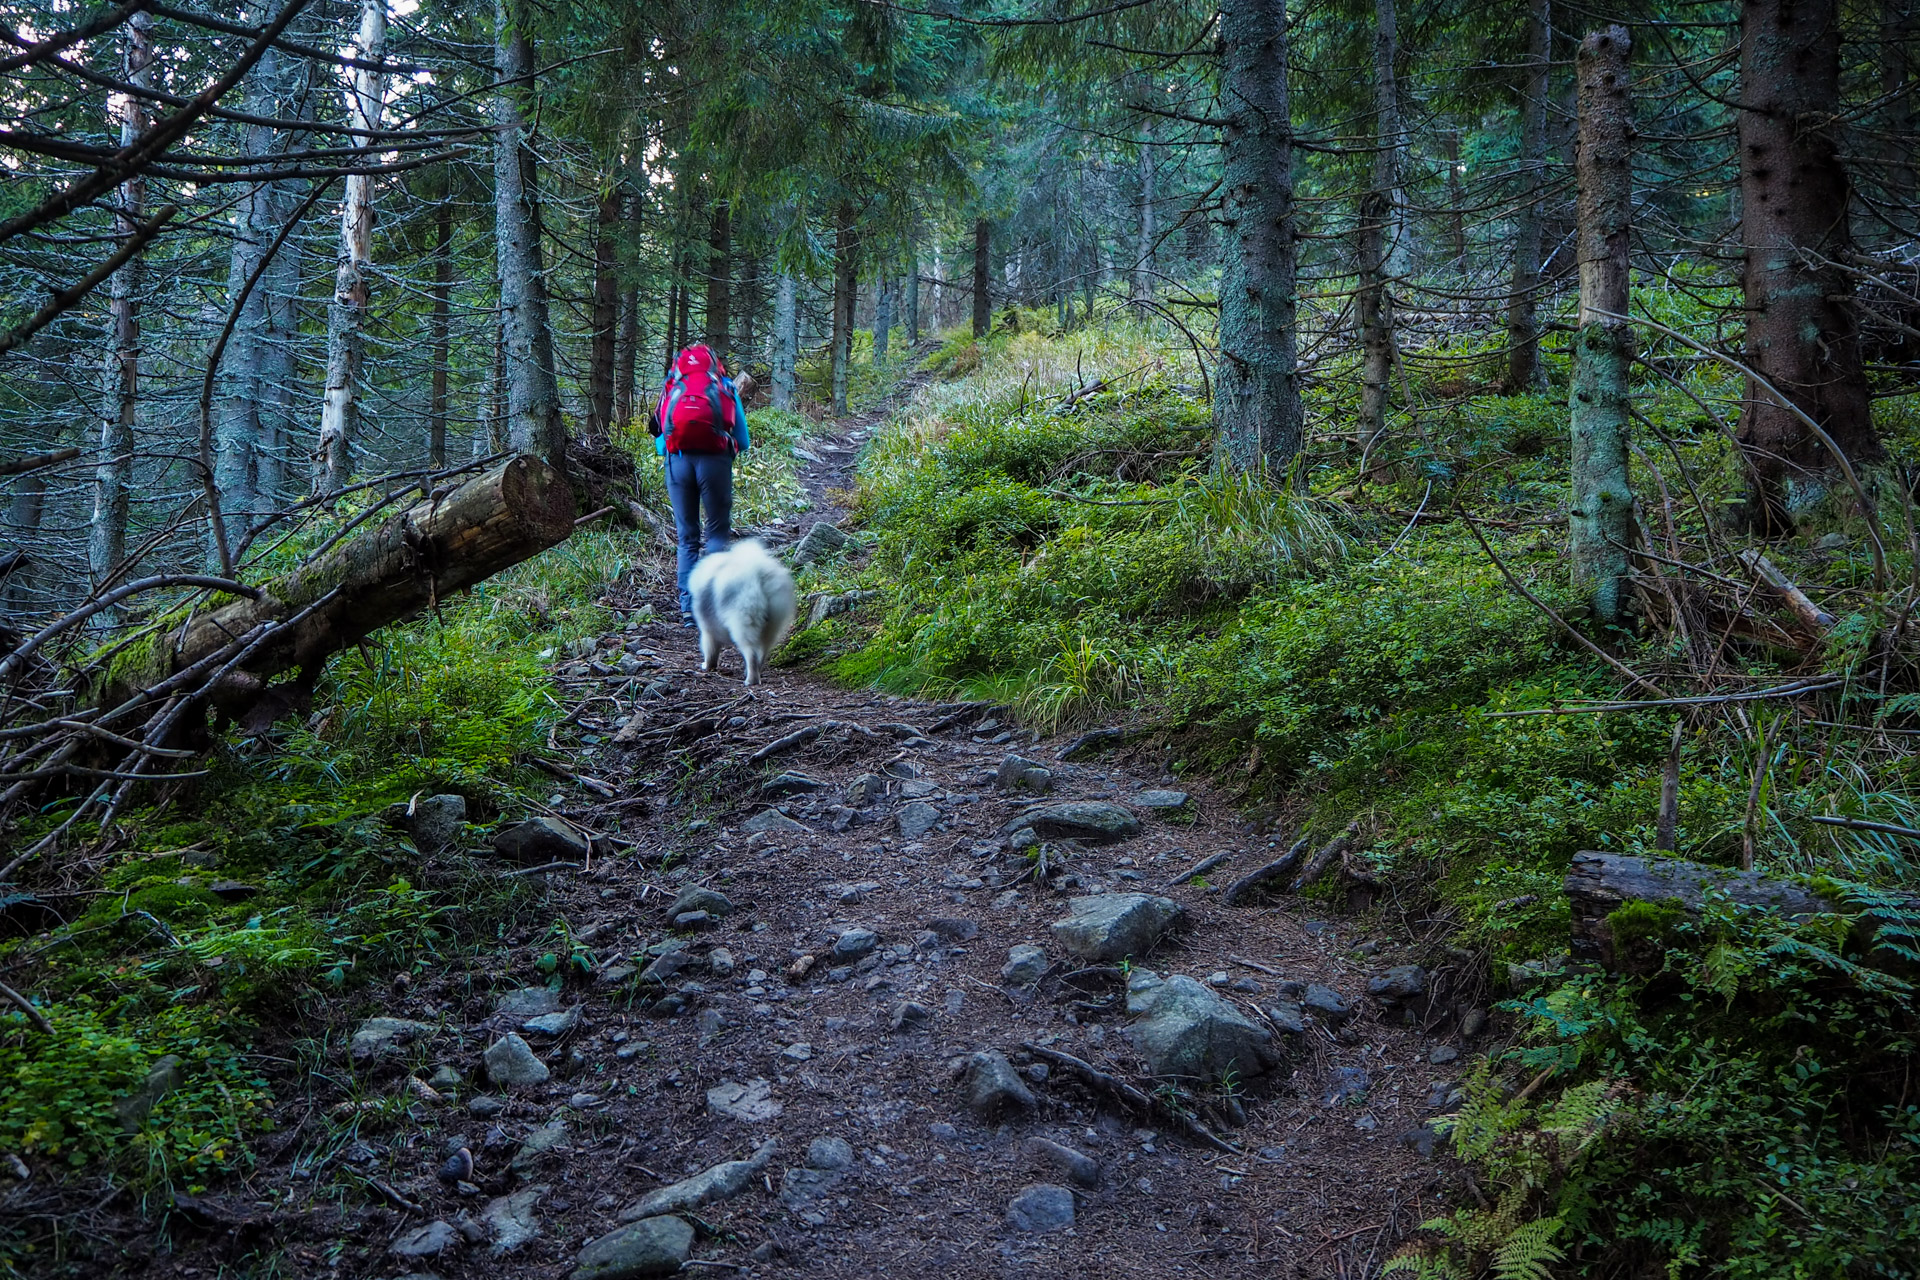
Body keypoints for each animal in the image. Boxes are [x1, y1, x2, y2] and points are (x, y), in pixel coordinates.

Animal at [691, 537, 794, 687]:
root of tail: (758, 574)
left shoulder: (708, 630)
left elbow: (711, 651)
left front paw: (707, 665)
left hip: (743, 622)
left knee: (751, 653)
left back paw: (751, 680)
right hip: (772, 624)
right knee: (763, 652)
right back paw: (755, 672)